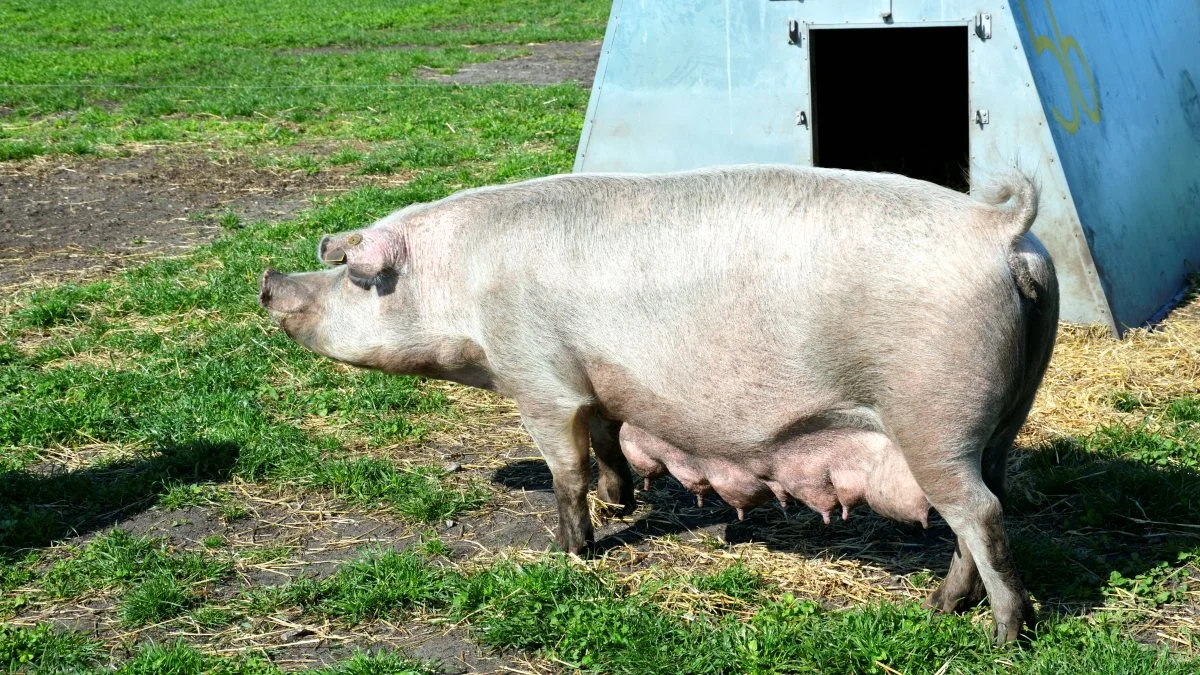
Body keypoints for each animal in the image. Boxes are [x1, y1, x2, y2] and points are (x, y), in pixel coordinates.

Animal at [260, 164, 1060, 638]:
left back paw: (1002, 633)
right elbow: (608, 440)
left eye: (357, 277)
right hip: (1002, 417)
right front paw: (623, 505)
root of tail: (997, 229)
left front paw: (574, 549)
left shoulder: (540, 378)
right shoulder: (597, 383)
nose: (269, 280)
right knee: (987, 505)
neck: (463, 287)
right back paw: (941, 606)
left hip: (932, 418)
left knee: (980, 514)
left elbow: (566, 469)